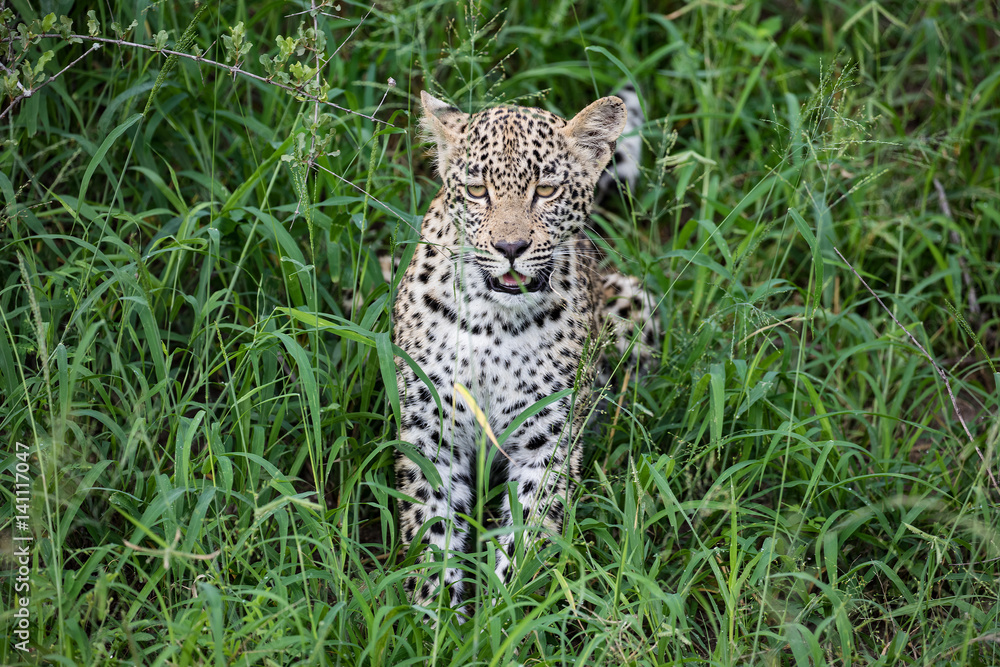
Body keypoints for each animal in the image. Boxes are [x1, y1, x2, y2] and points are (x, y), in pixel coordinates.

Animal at [393, 90, 655, 614]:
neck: (494, 321)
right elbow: (431, 536)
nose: (510, 246)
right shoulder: (431, 437)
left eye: (546, 190)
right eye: (477, 191)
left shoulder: (546, 446)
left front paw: (502, 616)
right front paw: (436, 617)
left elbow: (527, 537)